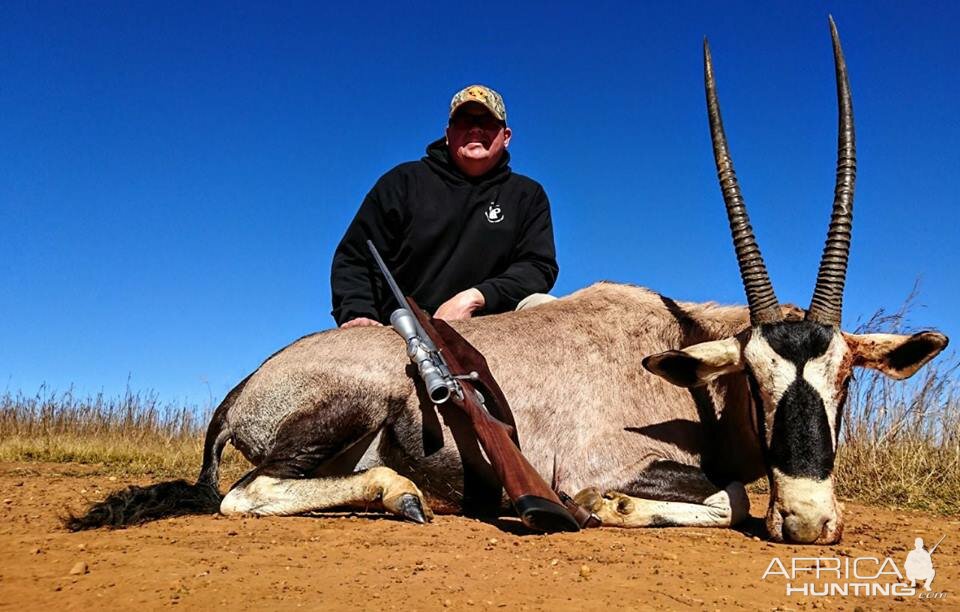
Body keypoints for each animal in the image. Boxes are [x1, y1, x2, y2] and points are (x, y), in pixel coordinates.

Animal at [71, 19, 948, 544]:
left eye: (845, 379)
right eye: (756, 379)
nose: (809, 523)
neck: (681, 357)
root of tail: (241, 390)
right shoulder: (606, 464)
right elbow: (724, 496)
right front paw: (614, 510)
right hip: (351, 407)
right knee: (243, 495)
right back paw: (404, 493)